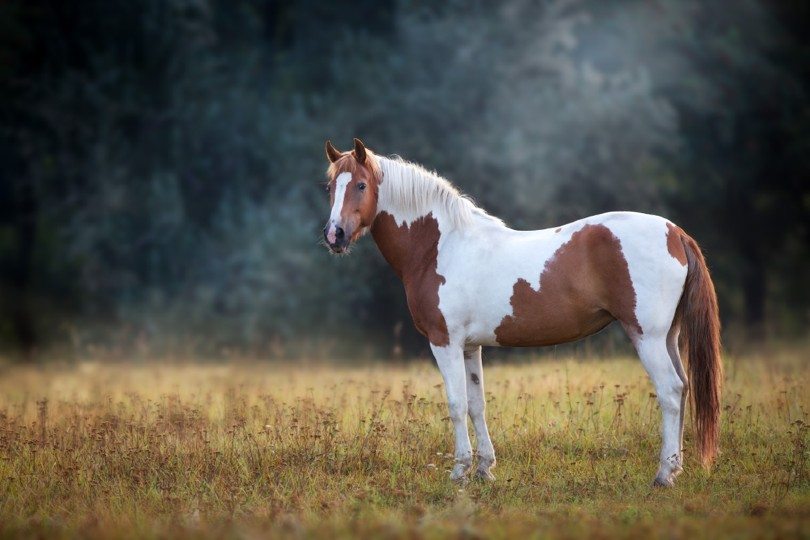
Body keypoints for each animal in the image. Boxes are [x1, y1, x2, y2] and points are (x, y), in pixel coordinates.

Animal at [320, 137, 720, 488]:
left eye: (360, 185)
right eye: (330, 187)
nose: (334, 235)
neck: (439, 246)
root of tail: (674, 232)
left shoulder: (444, 342)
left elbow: (456, 403)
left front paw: (459, 472)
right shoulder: (470, 346)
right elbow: (477, 404)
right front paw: (484, 469)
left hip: (647, 336)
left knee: (670, 391)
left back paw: (663, 475)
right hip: (668, 337)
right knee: (684, 388)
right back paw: (676, 468)